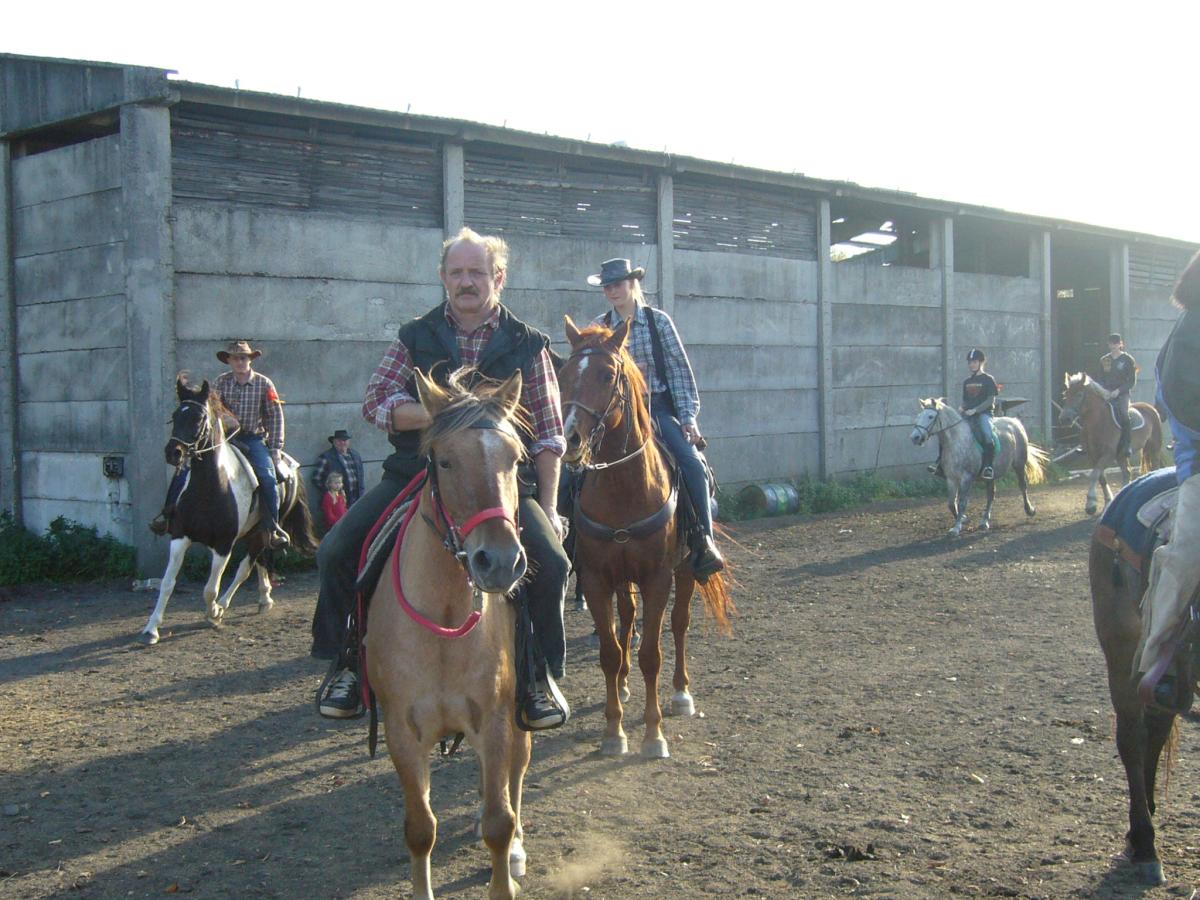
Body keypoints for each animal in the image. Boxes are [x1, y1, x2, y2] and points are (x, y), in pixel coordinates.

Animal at [137, 381, 319, 648]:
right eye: (175, 416)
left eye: (199, 417)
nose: (173, 452)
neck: (210, 488)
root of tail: (289, 464)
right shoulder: (180, 537)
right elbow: (167, 583)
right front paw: (151, 629)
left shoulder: (223, 545)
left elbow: (210, 589)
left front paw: (213, 613)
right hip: (254, 532)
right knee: (261, 562)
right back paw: (264, 598)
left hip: (262, 531)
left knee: (246, 567)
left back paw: (226, 605)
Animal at [364, 367, 535, 900]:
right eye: (443, 460)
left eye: (515, 459)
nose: (499, 561)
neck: (443, 620)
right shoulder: (402, 733)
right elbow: (420, 829)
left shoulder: (495, 723)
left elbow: (498, 822)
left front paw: (505, 870)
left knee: (518, 770)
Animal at [559, 316, 734, 763]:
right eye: (563, 375)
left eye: (607, 375)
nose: (570, 439)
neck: (624, 488)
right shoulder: (599, 580)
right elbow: (609, 651)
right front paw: (613, 731)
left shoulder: (658, 578)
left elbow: (651, 655)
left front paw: (653, 735)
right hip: (623, 581)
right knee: (626, 623)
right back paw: (623, 685)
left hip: (686, 570)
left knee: (679, 625)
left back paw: (681, 693)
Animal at [1060, 374, 1161, 513]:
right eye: (1066, 394)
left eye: (1079, 394)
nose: (1064, 419)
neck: (1098, 421)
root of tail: (1150, 408)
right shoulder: (1092, 455)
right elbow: (1101, 477)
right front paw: (1107, 501)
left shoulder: (1108, 454)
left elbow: (1094, 474)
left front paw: (1091, 504)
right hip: (1121, 455)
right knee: (1127, 473)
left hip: (1154, 448)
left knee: (1155, 467)